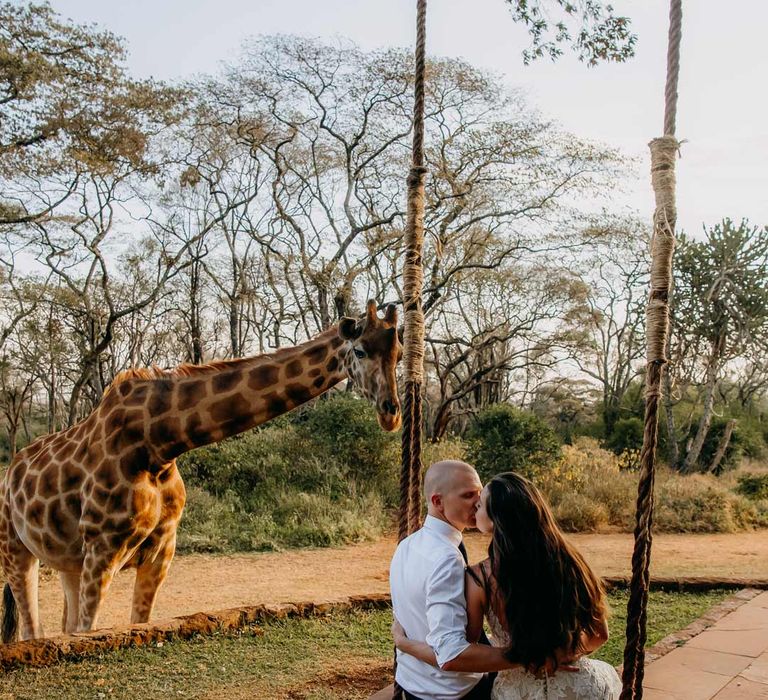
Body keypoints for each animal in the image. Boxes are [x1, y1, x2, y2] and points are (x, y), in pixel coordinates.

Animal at [1, 300, 402, 640]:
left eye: (399, 353)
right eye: (360, 351)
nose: (391, 413)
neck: (159, 444)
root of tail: (10, 470)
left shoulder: (160, 552)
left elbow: (135, 625)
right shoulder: (102, 550)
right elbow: (89, 630)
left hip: (67, 561)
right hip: (15, 548)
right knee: (31, 629)